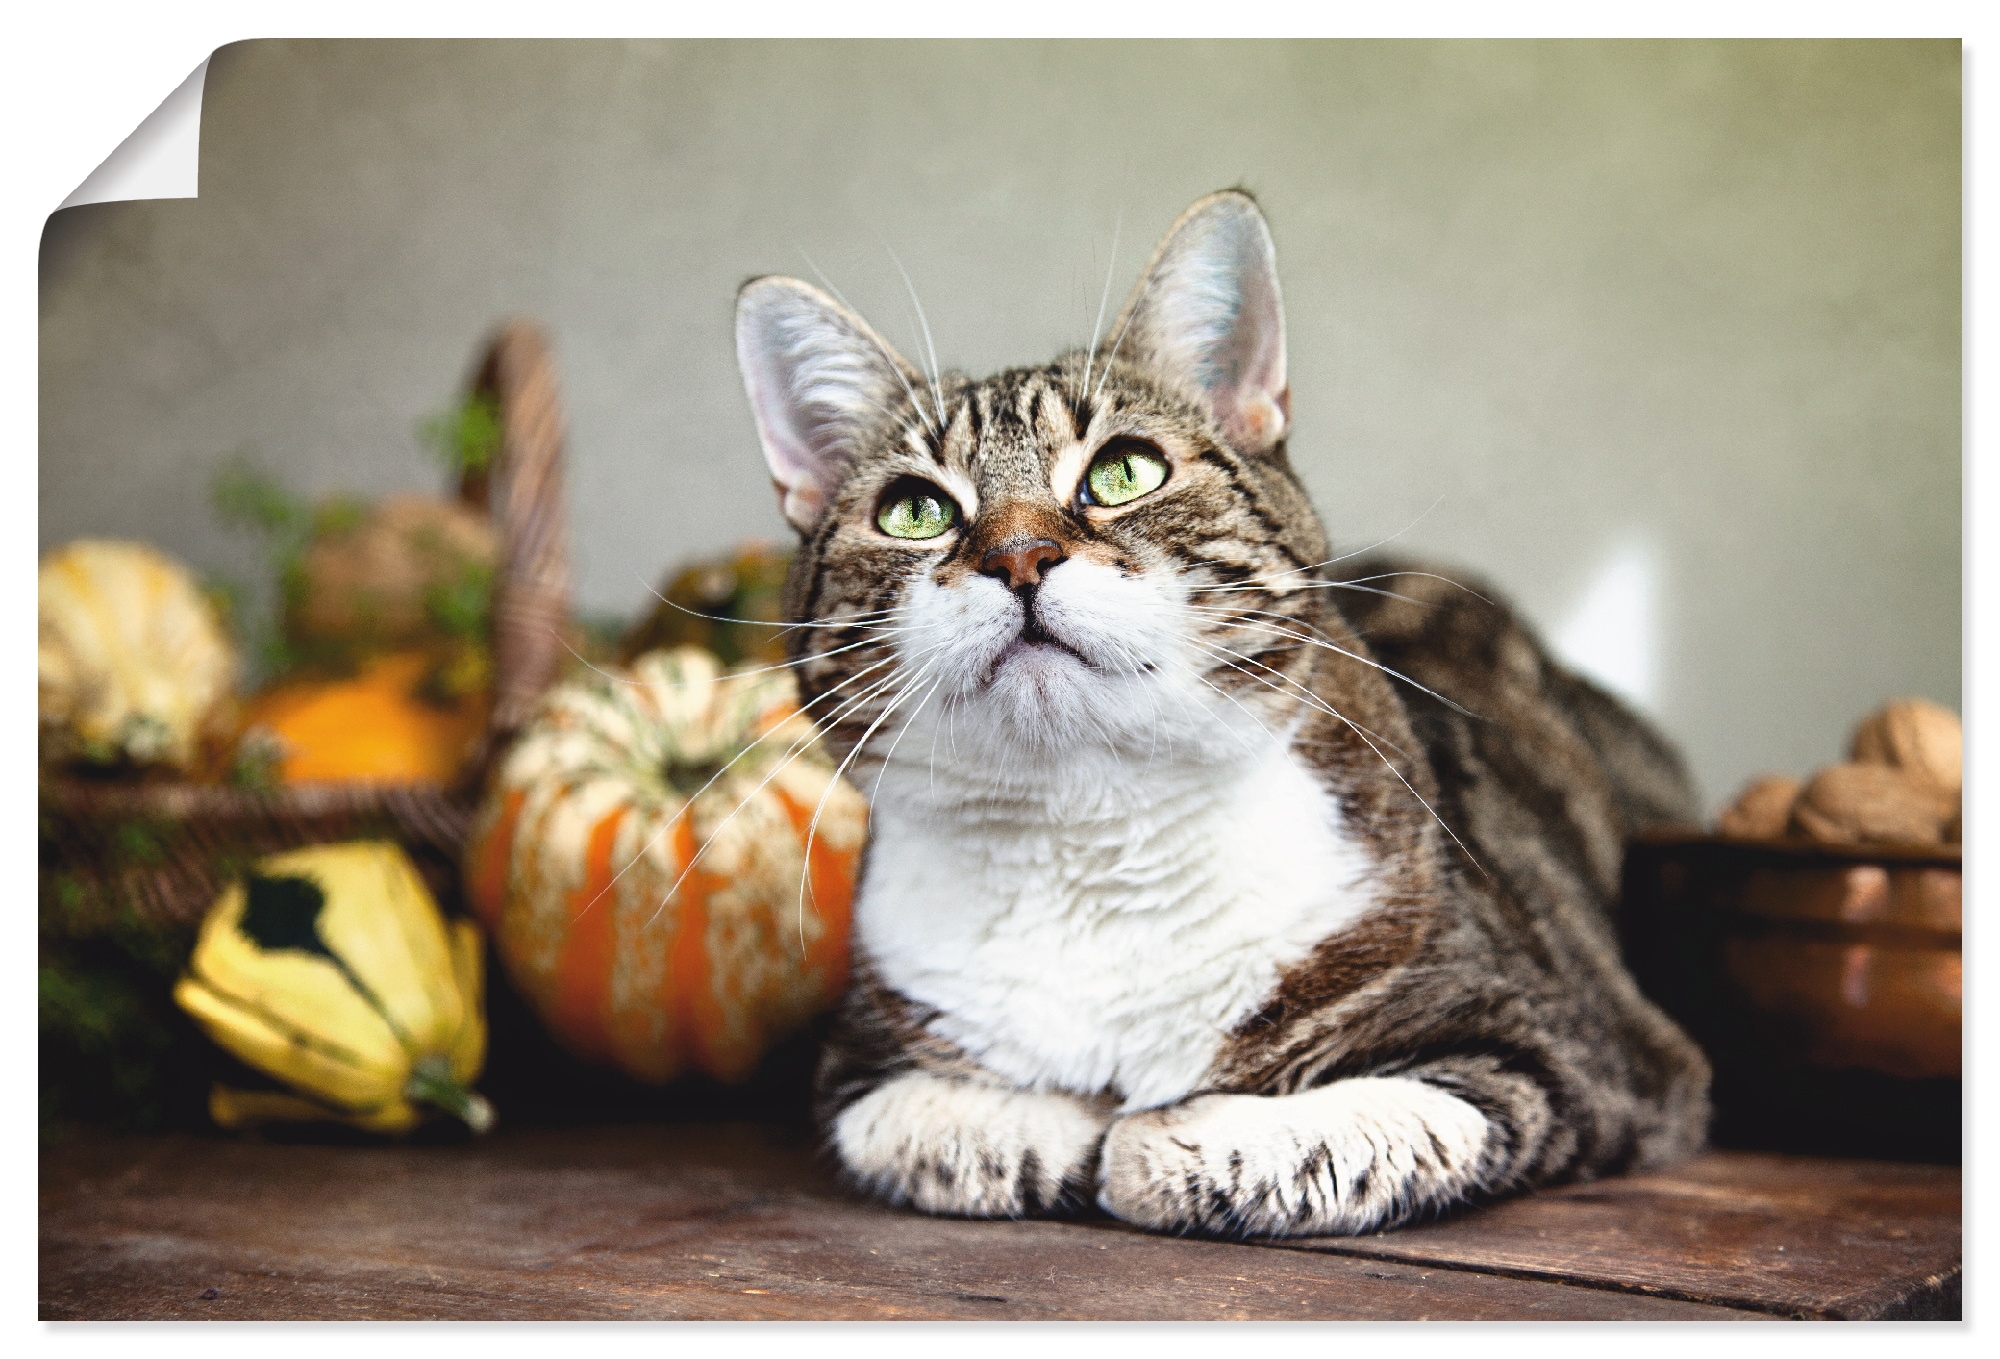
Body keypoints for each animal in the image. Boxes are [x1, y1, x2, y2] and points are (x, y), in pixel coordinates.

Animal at [728, 190, 1712, 1239]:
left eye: (1125, 471)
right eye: (915, 510)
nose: (1019, 555)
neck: (1088, 834)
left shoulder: (1582, 1051)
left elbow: (1365, 1123)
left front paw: (1165, 1137)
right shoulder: (857, 1067)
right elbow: (937, 1125)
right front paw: (1059, 1125)